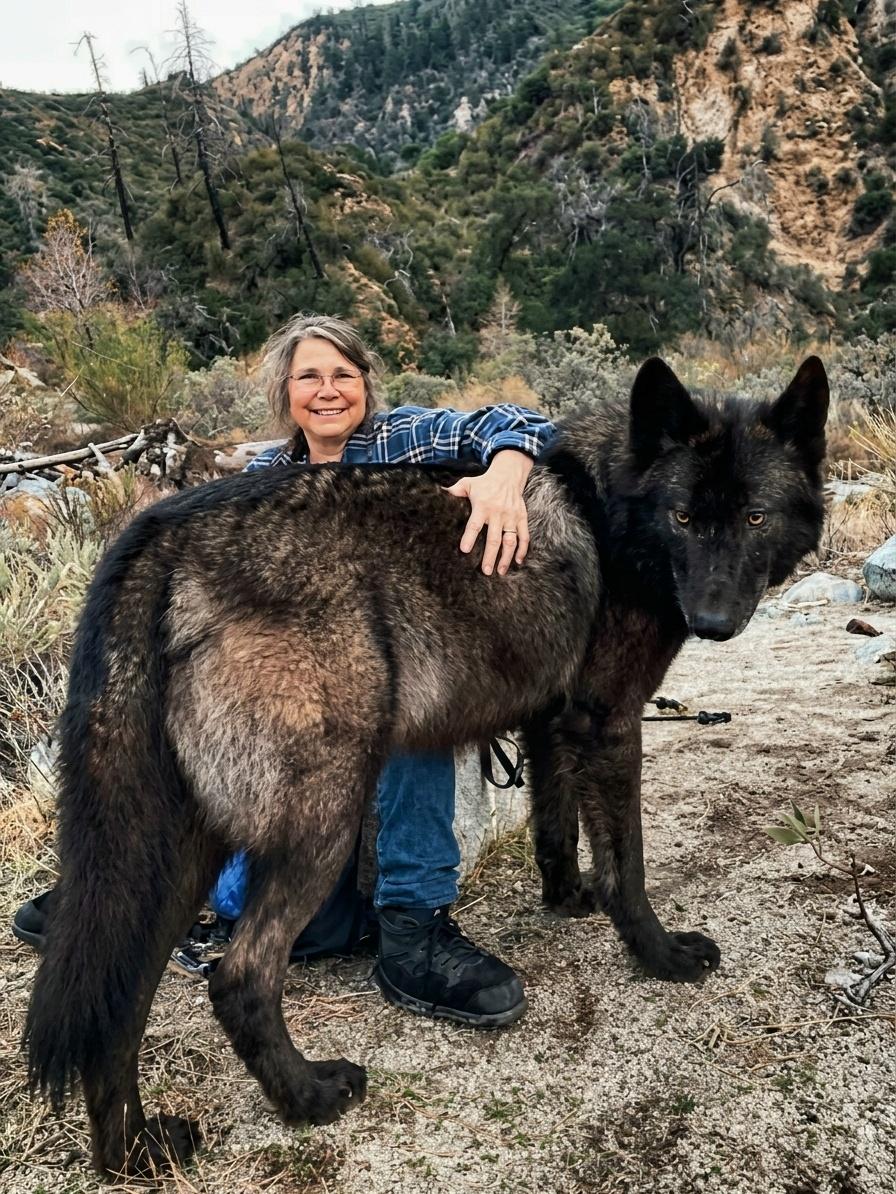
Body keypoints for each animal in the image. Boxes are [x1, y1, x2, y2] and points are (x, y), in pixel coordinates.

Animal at [25, 356, 829, 1175]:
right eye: (685, 518)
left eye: (754, 518)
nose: (715, 622)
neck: (613, 507)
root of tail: (160, 538)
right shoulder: (608, 721)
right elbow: (627, 866)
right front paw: (660, 954)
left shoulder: (550, 722)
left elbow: (555, 826)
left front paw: (566, 898)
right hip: (323, 819)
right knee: (240, 975)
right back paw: (309, 1097)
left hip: (183, 851)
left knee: (120, 997)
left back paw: (134, 1151)